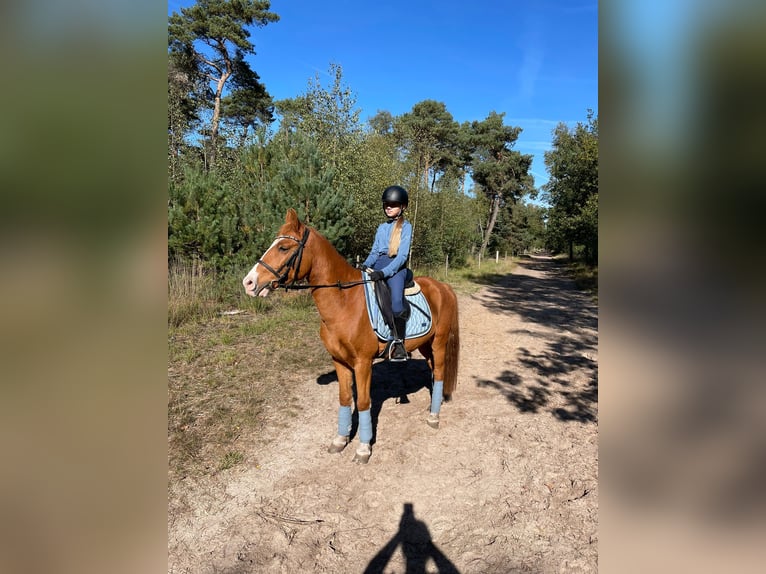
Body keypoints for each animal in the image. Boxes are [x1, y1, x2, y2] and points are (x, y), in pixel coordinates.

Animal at [244, 209, 462, 466]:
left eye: (284, 248)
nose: (249, 282)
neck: (344, 302)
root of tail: (443, 287)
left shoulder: (362, 363)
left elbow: (364, 402)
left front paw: (363, 449)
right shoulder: (339, 361)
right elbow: (345, 399)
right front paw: (340, 440)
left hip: (438, 343)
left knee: (440, 373)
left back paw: (434, 417)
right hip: (426, 345)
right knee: (433, 371)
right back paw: (433, 405)